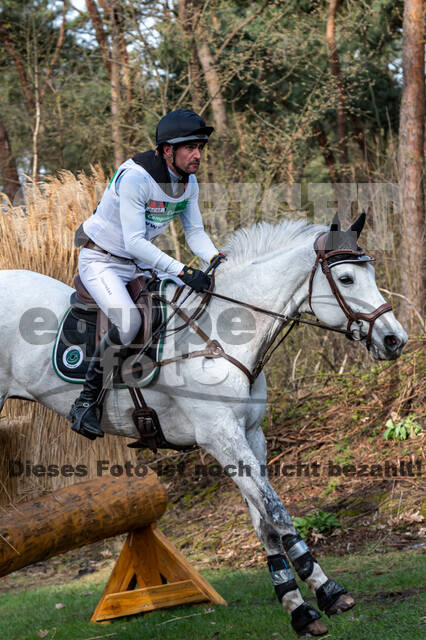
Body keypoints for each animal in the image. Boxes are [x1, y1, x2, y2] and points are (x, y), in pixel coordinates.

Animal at [0, 218, 406, 636]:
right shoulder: (221, 437)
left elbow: (263, 521)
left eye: (371, 274)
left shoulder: (250, 436)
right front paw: (326, 589)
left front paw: (299, 606)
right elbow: (276, 513)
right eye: (345, 278)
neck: (225, 336)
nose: (395, 340)